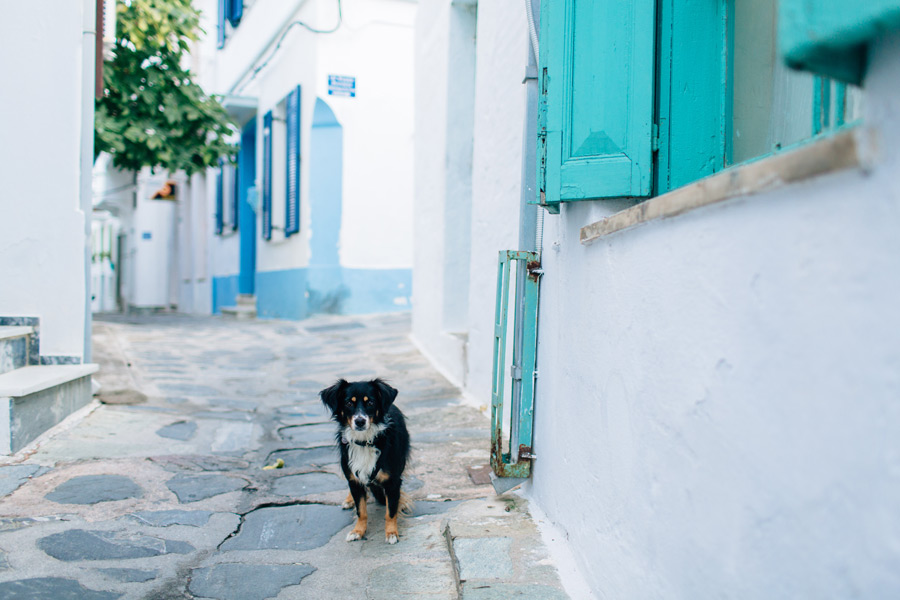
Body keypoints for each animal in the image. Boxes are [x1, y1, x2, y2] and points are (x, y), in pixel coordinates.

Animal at [320, 380, 412, 544]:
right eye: (348, 403)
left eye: (370, 402)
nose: (360, 421)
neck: (364, 442)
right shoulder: (354, 480)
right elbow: (361, 511)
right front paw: (358, 531)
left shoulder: (392, 481)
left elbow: (391, 510)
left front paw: (391, 533)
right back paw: (349, 500)